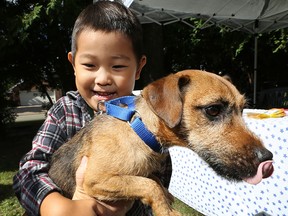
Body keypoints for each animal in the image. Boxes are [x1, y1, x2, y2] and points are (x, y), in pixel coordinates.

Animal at [48, 70, 274, 215]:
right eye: (213, 109)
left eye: (243, 109)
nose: (268, 158)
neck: (141, 132)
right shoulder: (95, 180)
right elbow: (149, 185)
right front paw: (167, 210)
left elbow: (153, 180)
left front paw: (167, 198)